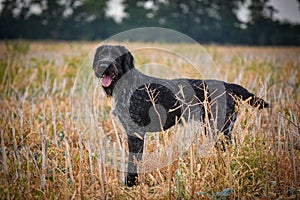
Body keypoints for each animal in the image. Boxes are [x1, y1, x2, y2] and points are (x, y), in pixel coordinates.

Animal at [92, 44, 270, 187]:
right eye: (102, 55)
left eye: (116, 55)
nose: (103, 65)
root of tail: (229, 85)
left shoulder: (136, 133)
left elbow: (133, 161)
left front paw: (131, 184)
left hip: (220, 129)